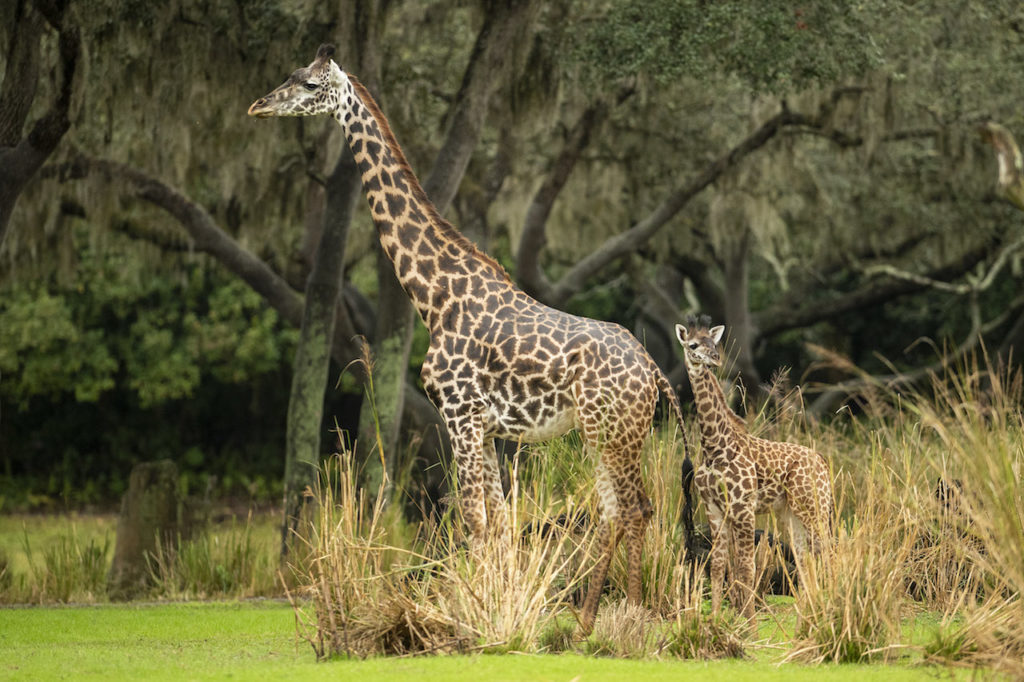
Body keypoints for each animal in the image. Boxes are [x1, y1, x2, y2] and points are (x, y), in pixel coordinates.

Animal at [250, 43, 692, 630]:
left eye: (307, 85)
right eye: (291, 74)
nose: (258, 105)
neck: (434, 297)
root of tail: (655, 372)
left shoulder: (458, 415)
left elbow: (474, 521)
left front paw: (480, 618)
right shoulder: (483, 427)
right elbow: (497, 523)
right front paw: (497, 612)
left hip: (616, 431)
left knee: (637, 507)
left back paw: (634, 619)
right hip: (606, 433)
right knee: (615, 510)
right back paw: (587, 623)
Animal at [679, 315, 831, 618]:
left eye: (714, 343)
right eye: (693, 345)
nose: (714, 358)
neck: (715, 448)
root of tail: (821, 461)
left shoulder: (743, 508)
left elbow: (745, 568)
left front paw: (747, 620)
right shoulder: (714, 508)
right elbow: (718, 566)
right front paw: (714, 619)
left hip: (814, 506)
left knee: (829, 549)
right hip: (791, 512)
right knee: (805, 556)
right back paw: (809, 612)